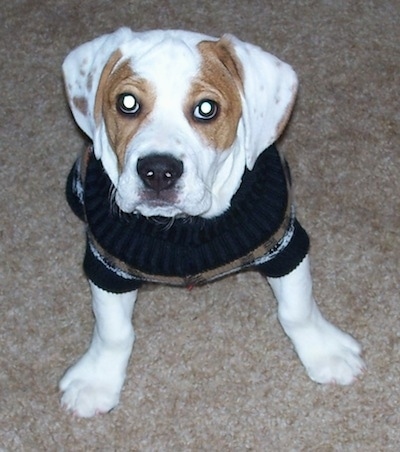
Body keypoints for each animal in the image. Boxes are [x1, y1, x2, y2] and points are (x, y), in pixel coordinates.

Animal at [60, 27, 366, 416]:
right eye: (127, 103)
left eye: (206, 109)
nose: (158, 172)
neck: (183, 228)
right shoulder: (107, 266)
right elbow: (113, 332)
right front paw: (97, 381)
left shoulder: (284, 246)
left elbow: (297, 310)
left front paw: (325, 352)